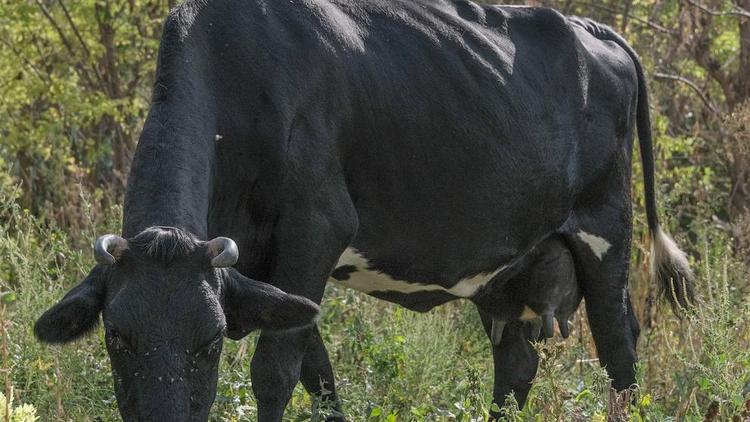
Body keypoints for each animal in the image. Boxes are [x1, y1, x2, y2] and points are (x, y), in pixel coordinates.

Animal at [33, 1, 692, 420]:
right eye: (116, 337)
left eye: (212, 340)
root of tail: (592, 28)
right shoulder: (267, 271)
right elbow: (316, 374)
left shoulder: (316, 229)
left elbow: (274, 373)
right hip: (508, 267)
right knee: (517, 367)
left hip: (605, 229)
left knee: (619, 351)